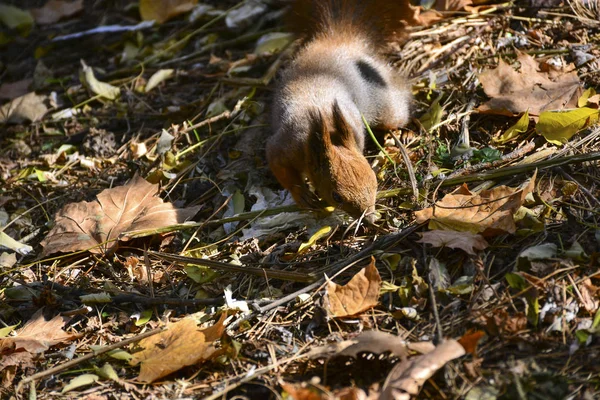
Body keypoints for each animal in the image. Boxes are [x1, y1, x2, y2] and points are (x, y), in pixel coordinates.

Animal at [268, 0, 412, 225]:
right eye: (336, 196)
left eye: (374, 182)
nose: (369, 220)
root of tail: (337, 40)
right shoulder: (288, 147)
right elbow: (276, 162)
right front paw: (301, 194)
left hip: (385, 104)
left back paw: (405, 132)